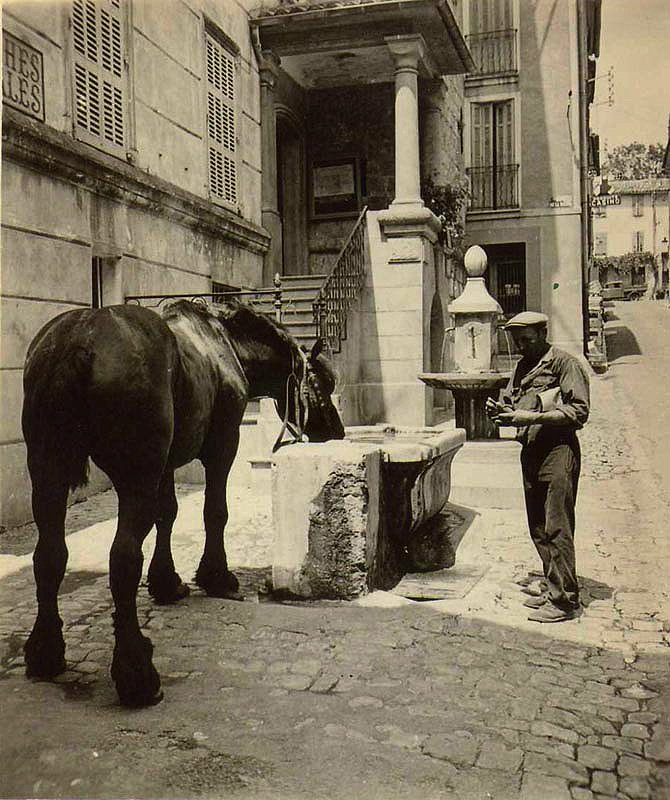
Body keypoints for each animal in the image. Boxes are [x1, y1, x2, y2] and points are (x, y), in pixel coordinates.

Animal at [21, 298, 346, 708]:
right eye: (322, 384)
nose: (337, 432)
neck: (226, 345)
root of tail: (82, 338)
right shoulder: (222, 446)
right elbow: (214, 512)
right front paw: (216, 576)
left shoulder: (166, 465)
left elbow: (168, 515)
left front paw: (167, 581)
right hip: (135, 477)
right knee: (123, 560)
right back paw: (137, 674)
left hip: (47, 475)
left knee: (49, 556)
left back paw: (46, 651)